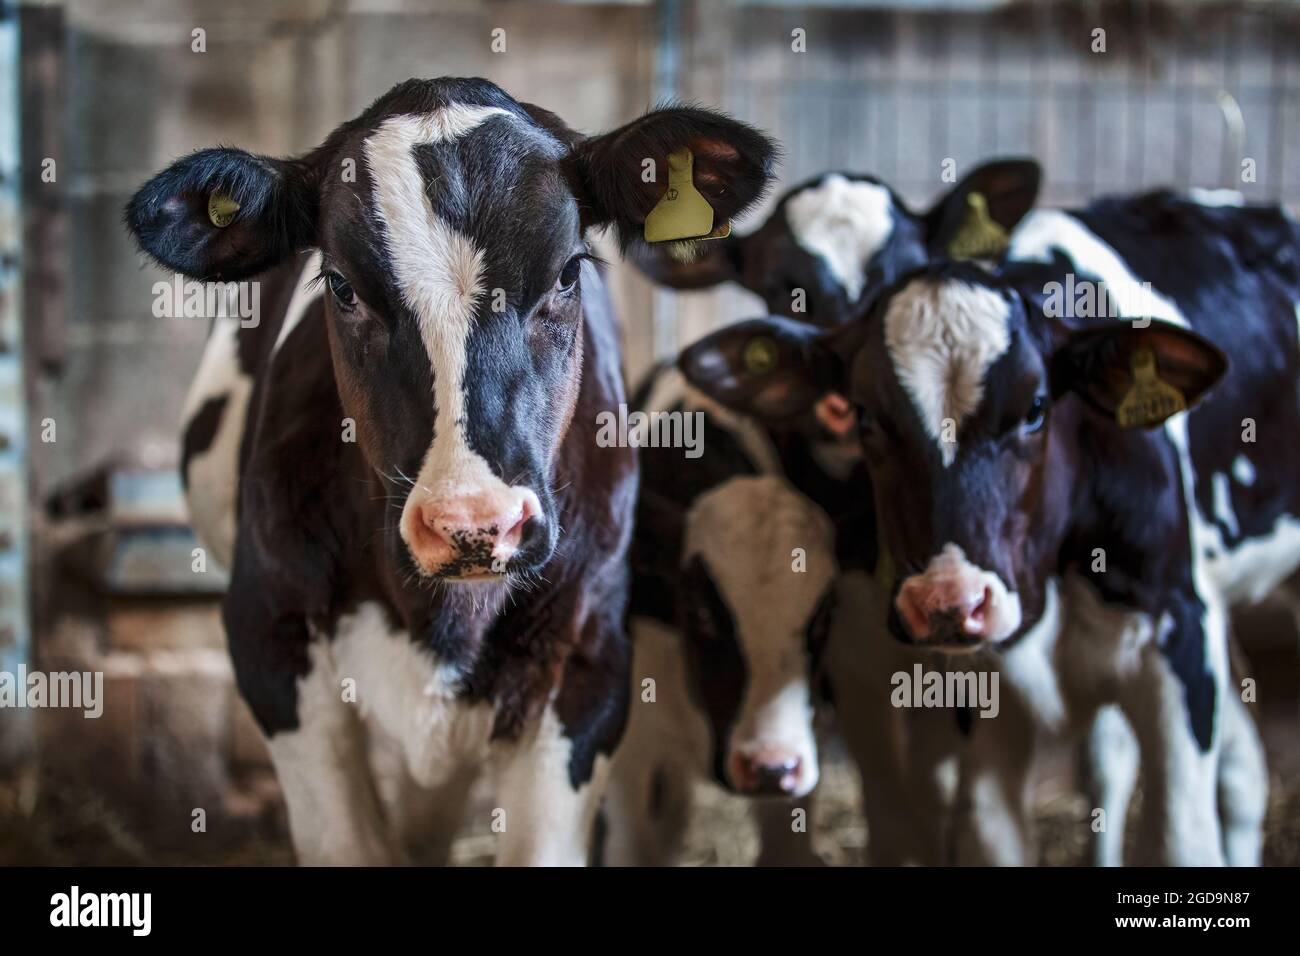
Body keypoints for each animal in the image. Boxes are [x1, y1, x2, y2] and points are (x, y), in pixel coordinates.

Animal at [686, 188, 1294, 868]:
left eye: (1035, 409)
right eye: (867, 415)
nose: (948, 602)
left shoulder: (1178, 629)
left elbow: (1180, 839)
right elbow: (986, 830)